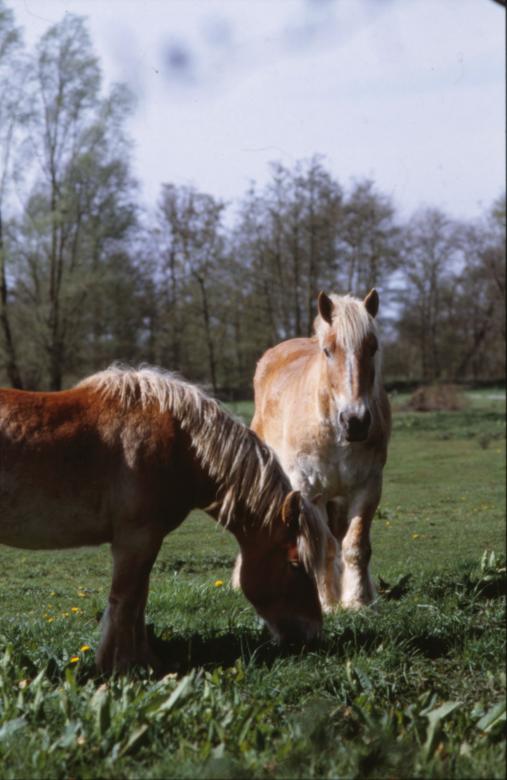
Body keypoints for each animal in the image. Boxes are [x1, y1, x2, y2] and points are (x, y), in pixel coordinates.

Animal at [0, 365, 330, 673]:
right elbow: (125, 602)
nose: (313, 633)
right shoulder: (137, 539)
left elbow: (138, 601)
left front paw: (145, 662)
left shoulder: (145, 541)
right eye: (295, 563)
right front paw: (120, 667)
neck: (182, 444)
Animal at [243, 290, 391, 611]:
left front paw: (358, 600)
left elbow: (355, 545)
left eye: (372, 347)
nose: (355, 421)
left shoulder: (367, 487)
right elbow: (323, 547)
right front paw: (327, 603)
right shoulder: (311, 493)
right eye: (328, 351)